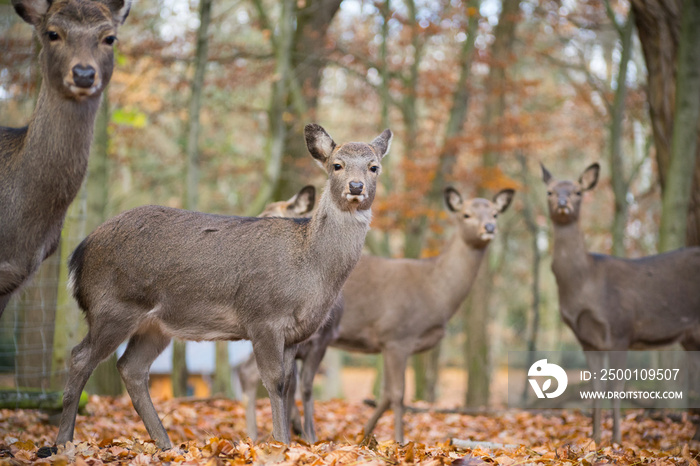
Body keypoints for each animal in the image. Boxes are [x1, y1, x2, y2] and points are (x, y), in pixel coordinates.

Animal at [237, 184, 344, 442]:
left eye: (269, 217)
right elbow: (292, 386)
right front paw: (298, 434)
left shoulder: (321, 341)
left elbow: (302, 387)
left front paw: (308, 436)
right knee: (248, 372)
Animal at [328, 187, 516, 444]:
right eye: (466, 214)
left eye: (495, 213)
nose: (489, 227)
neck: (435, 293)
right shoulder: (396, 335)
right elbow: (397, 394)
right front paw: (399, 440)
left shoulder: (387, 342)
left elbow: (384, 394)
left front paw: (364, 436)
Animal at [540, 163, 700, 444]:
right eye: (549, 191)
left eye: (578, 191)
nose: (562, 203)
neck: (585, 283)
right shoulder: (588, 340)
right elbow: (595, 386)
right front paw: (594, 437)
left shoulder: (620, 329)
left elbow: (615, 387)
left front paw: (616, 439)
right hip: (690, 337)